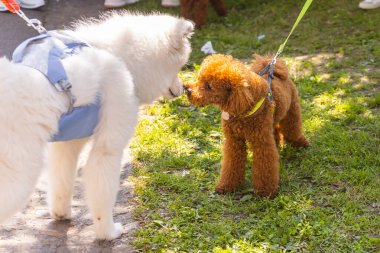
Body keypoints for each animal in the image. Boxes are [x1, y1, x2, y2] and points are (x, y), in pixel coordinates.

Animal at [0, 11, 194, 240]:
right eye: (179, 67)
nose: (185, 88)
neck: (121, 57)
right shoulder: (108, 147)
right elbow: (104, 192)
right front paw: (108, 232)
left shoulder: (67, 144)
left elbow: (62, 181)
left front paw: (61, 213)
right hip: (19, 172)